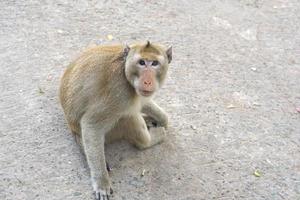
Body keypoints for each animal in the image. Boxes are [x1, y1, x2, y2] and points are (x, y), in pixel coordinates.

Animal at [59, 41, 171, 200]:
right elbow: (91, 125)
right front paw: (101, 183)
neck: (125, 70)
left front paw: (162, 118)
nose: (147, 81)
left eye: (155, 63)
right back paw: (150, 139)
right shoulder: (119, 93)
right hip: (113, 131)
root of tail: (72, 128)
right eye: (142, 62)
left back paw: (148, 119)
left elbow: (143, 100)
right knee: (127, 116)